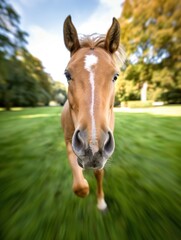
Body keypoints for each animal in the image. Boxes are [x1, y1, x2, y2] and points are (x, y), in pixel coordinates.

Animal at [61, 15, 125, 210]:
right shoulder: (69, 142)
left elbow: (99, 173)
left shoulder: (103, 152)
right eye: (67, 74)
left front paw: (101, 202)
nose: (92, 146)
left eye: (115, 76)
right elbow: (80, 187)